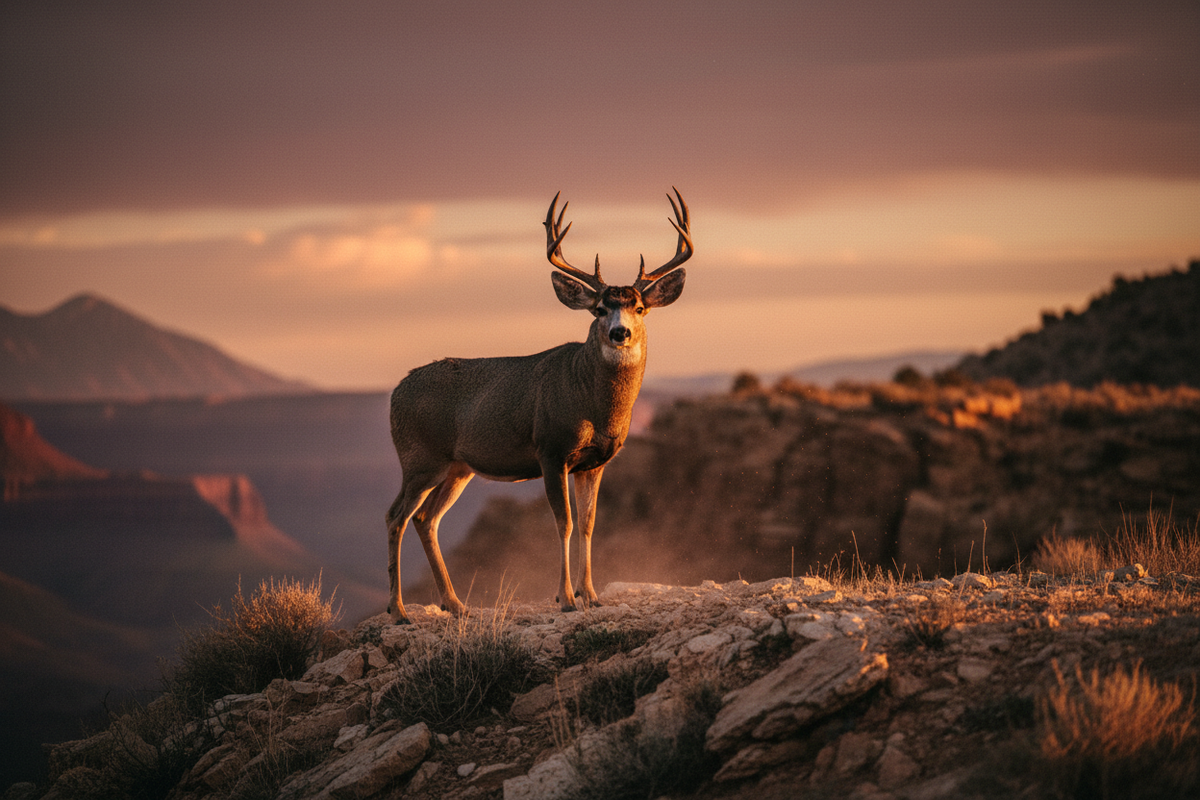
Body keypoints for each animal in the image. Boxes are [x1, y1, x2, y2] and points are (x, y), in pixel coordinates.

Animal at [385, 189, 693, 623]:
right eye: (600, 309)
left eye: (640, 308)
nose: (620, 333)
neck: (593, 404)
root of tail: (396, 392)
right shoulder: (551, 449)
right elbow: (563, 523)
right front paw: (565, 598)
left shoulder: (595, 462)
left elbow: (588, 524)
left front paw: (591, 594)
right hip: (419, 457)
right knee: (396, 516)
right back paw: (398, 610)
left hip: (458, 467)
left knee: (427, 519)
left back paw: (457, 605)